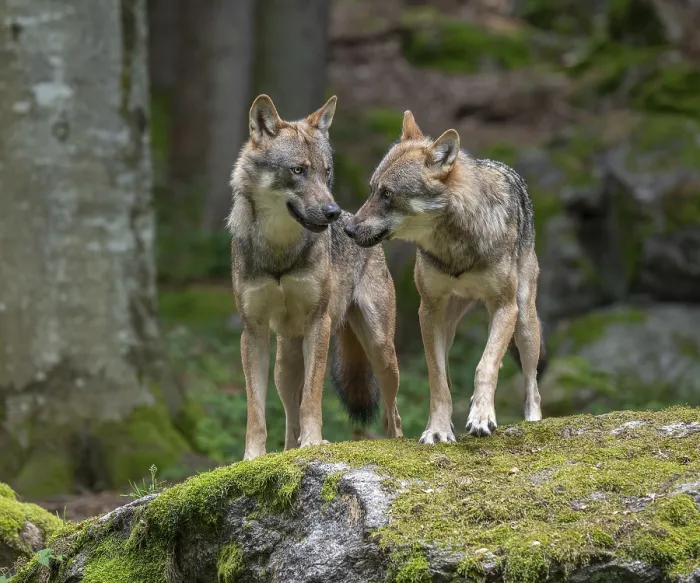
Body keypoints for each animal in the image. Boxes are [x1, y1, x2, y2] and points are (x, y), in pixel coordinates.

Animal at [227, 94, 403, 460]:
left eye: (327, 172)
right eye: (298, 170)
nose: (332, 213)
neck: (280, 251)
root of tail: (357, 223)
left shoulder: (318, 323)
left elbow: (312, 396)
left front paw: (314, 442)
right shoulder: (253, 332)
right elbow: (255, 410)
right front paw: (253, 457)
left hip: (381, 351)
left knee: (391, 413)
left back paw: (398, 444)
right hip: (284, 365)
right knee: (288, 421)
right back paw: (287, 451)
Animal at [344, 111, 547, 444]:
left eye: (388, 194)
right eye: (373, 189)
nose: (347, 229)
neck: (455, 245)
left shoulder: (506, 307)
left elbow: (486, 365)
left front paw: (482, 417)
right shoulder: (427, 311)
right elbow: (438, 381)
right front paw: (438, 429)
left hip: (525, 321)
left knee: (532, 384)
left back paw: (532, 420)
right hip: (448, 326)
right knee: (450, 377)